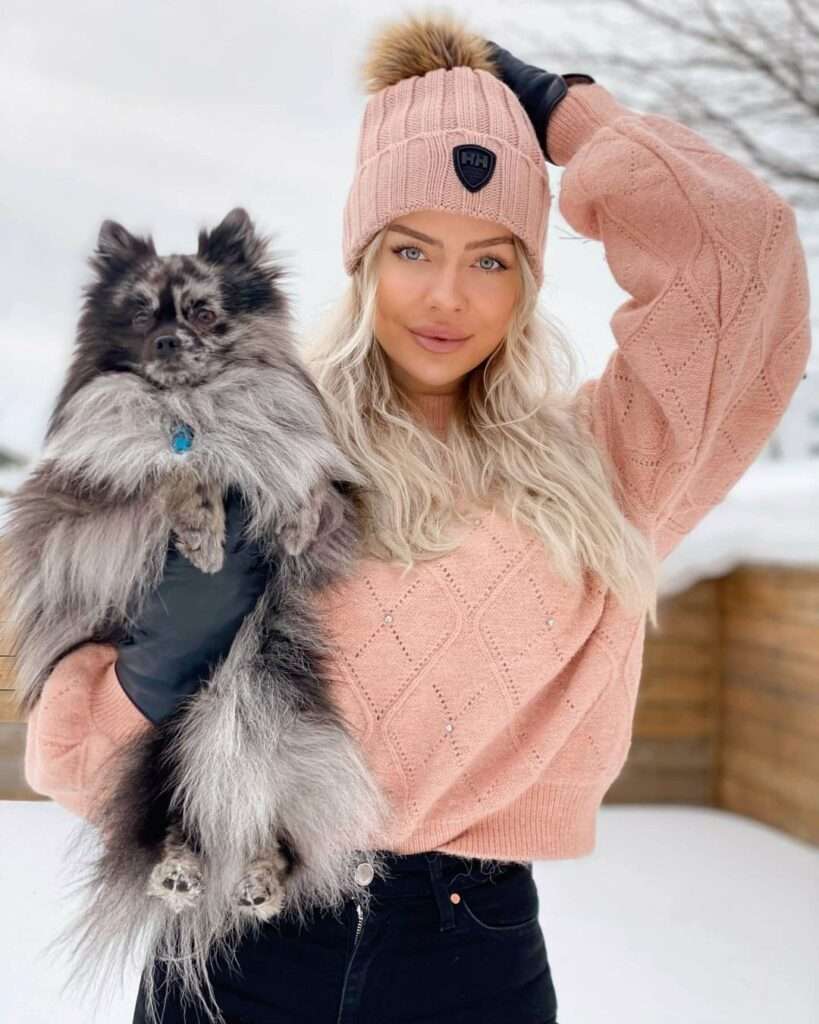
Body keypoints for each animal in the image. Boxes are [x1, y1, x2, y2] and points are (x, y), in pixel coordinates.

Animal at [0, 209, 391, 1024]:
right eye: (141, 313)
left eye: (205, 313)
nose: (170, 342)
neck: (194, 407)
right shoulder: (82, 517)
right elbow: (171, 470)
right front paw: (205, 529)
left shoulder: (321, 511)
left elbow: (305, 488)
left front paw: (291, 518)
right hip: (163, 751)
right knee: (174, 828)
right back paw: (180, 874)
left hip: (289, 750)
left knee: (280, 838)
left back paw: (259, 880)